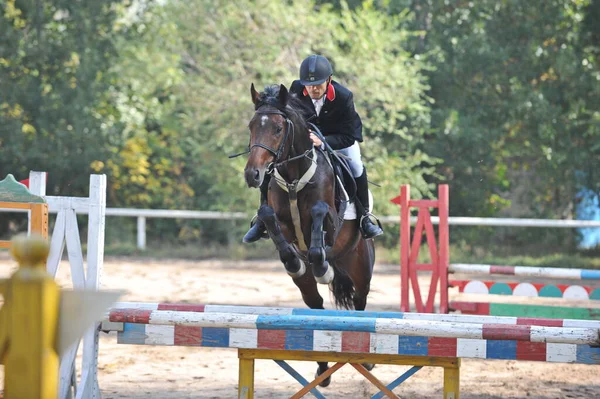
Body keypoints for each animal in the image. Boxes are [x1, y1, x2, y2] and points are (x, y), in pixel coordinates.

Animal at [244, 83, 376, 386]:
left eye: (278, 129)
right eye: (251, 126)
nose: (252, 175)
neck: (294, 175)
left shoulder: (329, 219)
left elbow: (318, 217)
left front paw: (322, 268)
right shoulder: (277, 216)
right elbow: (268, 217)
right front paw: (293, 261)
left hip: (361, 267)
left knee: (360, 302)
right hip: (307, 286)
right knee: (315, 305)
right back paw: (322, 371)